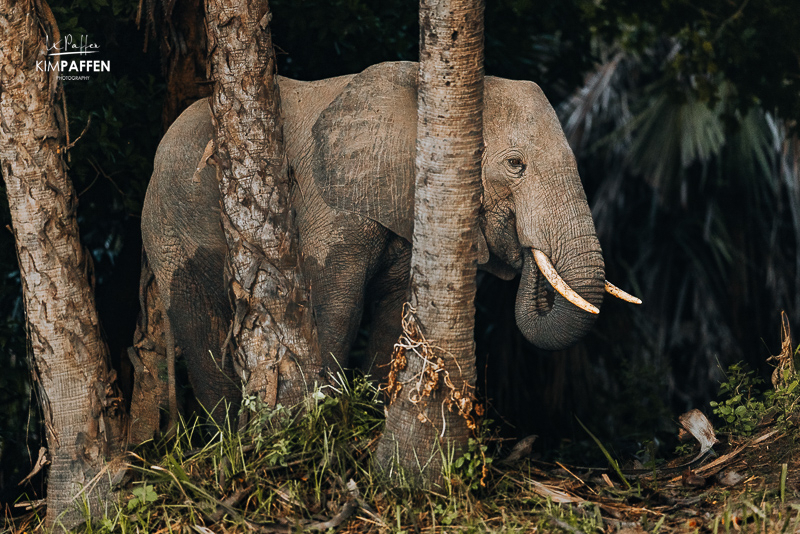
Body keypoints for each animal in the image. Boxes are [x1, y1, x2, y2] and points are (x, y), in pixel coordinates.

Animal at [141, 61, 638, 416]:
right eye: (516, 165)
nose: (525, 247)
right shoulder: (331, 199)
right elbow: (339, 304)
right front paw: (326, 421)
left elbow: (394, 310)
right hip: (169, 223)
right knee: (201, 325)